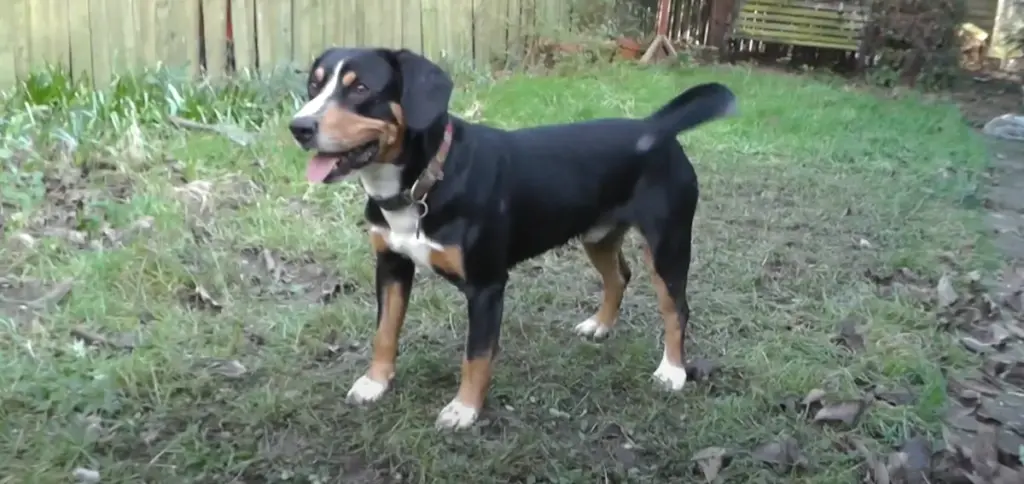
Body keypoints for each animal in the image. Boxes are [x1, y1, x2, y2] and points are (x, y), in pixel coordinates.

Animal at [288, 47, 737, 427]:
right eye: (314, 85)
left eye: (361, 88)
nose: (299, 127)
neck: (423, 183)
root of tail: (655, 127)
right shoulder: (391, 265)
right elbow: (384, 332)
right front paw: (375, 383)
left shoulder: (486, 286)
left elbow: (476, 355)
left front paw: (464, 409)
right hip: (597, 236)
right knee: (619, 276)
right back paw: (600, 325)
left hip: (668, 244)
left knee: (676, 309)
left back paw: (672, 371)